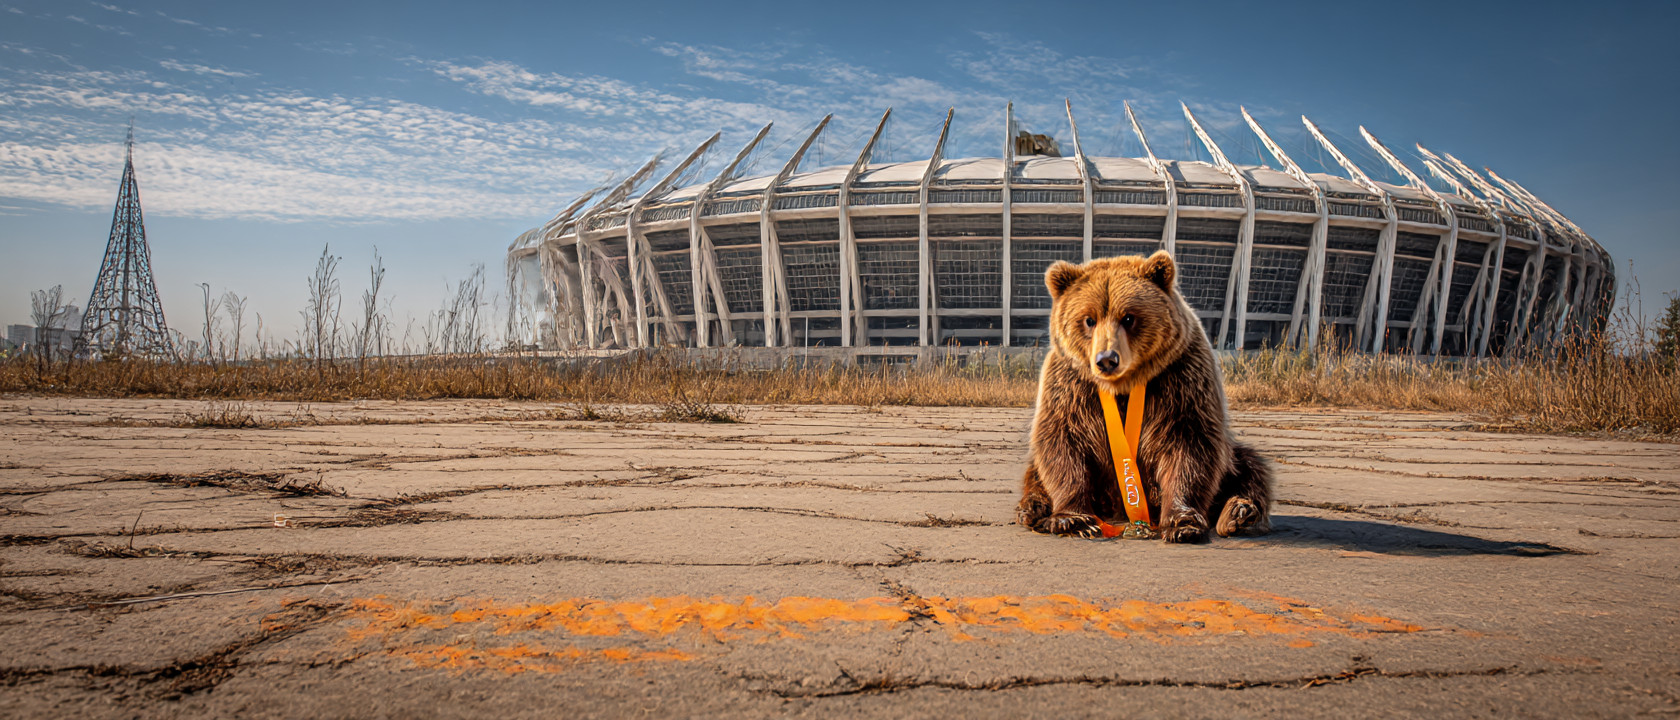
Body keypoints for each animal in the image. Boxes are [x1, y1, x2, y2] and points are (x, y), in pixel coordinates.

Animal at [1015, 250, 1273, 543]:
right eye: (1089, 319)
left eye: (1128, 317)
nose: (1106, 360)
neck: (1124, 385)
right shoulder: (1072, 387)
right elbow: (1062, 444)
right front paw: (1073, 520)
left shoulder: (1180, 381)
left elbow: (1189, 446)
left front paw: (1182, 522)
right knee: (1034, 473)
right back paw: (1032, 509)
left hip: (1227, 456)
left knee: (1248, 467)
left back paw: (1237, 513)